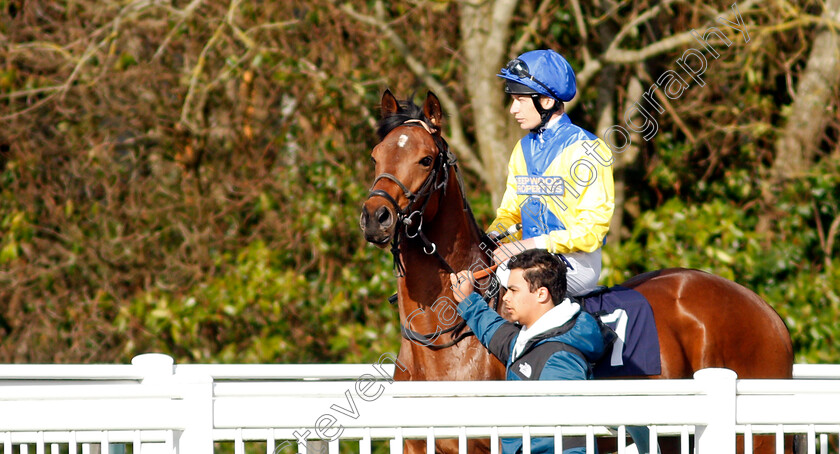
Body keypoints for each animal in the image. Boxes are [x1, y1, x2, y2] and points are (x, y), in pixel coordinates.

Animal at [360, 89, 796, 454]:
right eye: (376, 155)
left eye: (425, 158)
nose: (375, 217)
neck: (443, 342)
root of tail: (767, 311)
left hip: (755, 437)